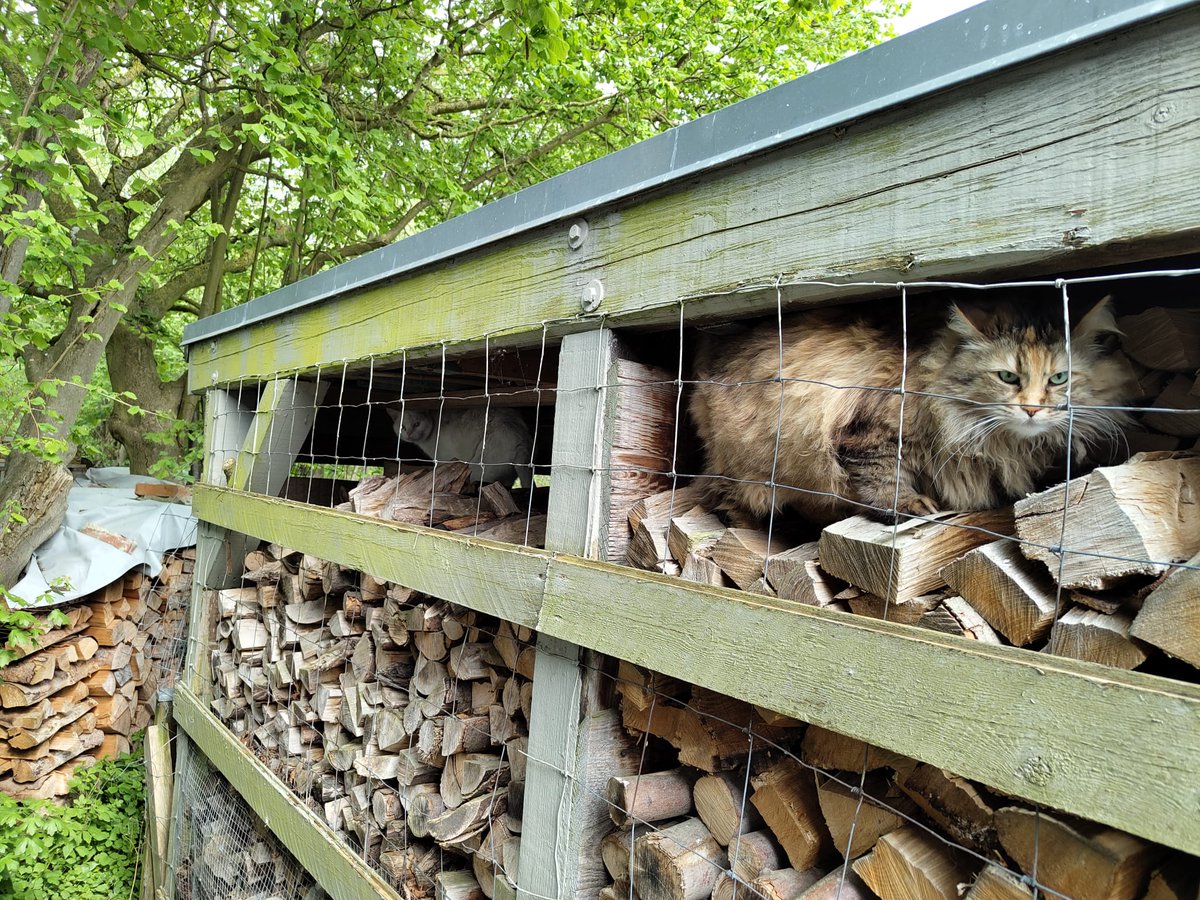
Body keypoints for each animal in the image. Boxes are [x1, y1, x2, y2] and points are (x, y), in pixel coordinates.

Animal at [388, 408, 535, 494]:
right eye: (402, 427)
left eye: (417, 424)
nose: (409, 434)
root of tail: (520, 439)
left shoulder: (445, 459)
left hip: (476, 469)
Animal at [691, 300, 1137, 528]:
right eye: (1008, 376)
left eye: (1059, 378)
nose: (1032, 409)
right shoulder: (868, 432)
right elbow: (884, 477)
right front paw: (907, 505)